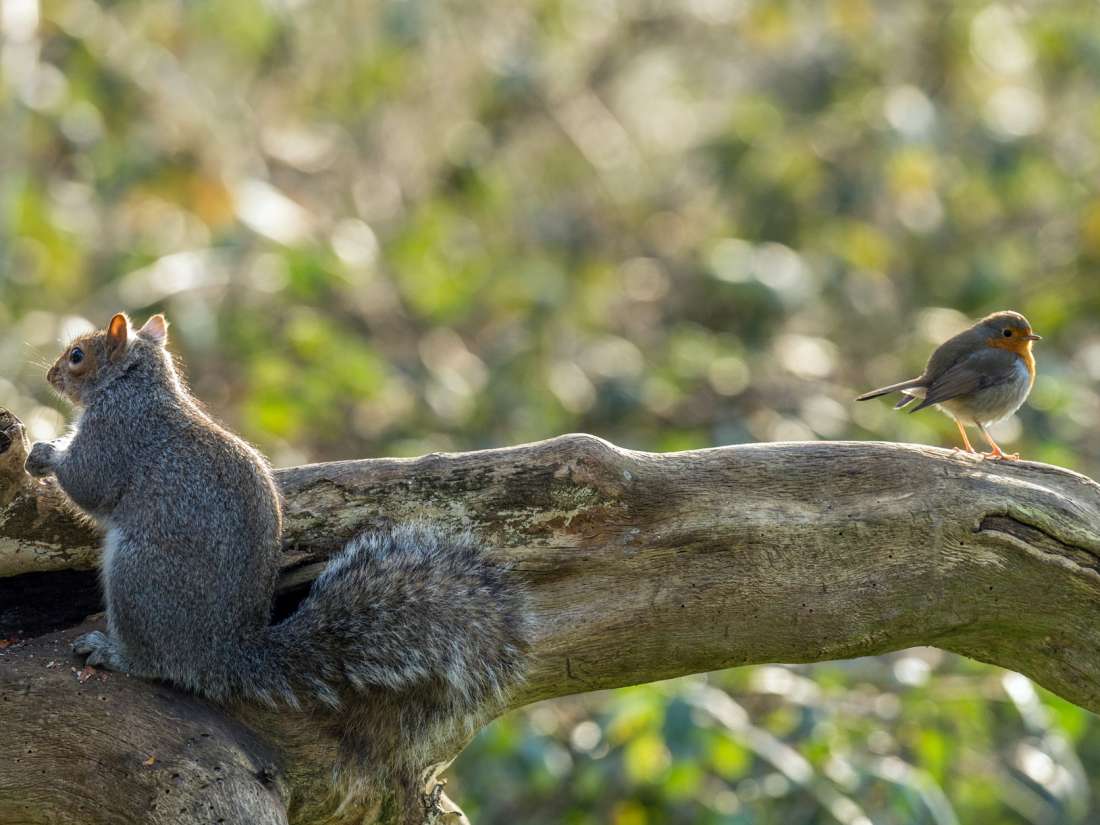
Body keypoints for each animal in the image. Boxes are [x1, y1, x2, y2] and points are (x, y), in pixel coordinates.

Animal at [24, 312, 530, 813]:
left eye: (77, 355)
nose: (49, 375)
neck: (137, 384)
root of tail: (222, 654)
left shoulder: (116, 433)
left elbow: (88, 482)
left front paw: (46, 454)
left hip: (136, 577)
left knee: (156, 662)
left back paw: (112, 652)